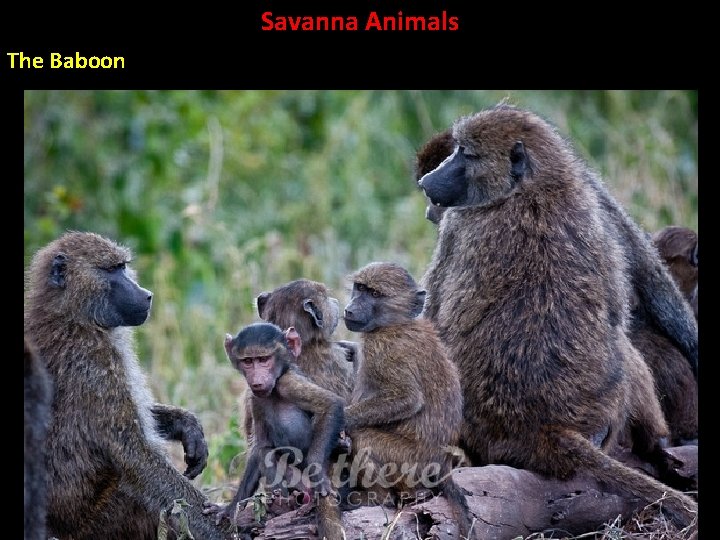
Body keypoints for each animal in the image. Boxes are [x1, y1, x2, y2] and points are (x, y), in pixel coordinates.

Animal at [23, 231, 226, 540]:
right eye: (112, 270)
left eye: (123, 267)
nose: (146, 294)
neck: (70, 313)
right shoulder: (94, 361)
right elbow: (135, 455)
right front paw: (226, 527)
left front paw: (188, 427)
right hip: (93, 525)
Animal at [205, 322, 346, 540]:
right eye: (248, 361)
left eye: (264, 359)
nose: (257, 380)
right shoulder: (255, 399)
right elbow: (259, 447)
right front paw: (230, 509)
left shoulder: (289, 382)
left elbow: (331, 405)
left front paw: (318, 476)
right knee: (266, 453)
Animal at [342, 261, 476, 539]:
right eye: (359, 288)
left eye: (374, 294)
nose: (350, 309)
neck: (396, 322)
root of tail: (441, 465)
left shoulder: (382, 349)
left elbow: (407, 399)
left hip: (409, 463)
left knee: (363, 437)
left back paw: (377, 498)